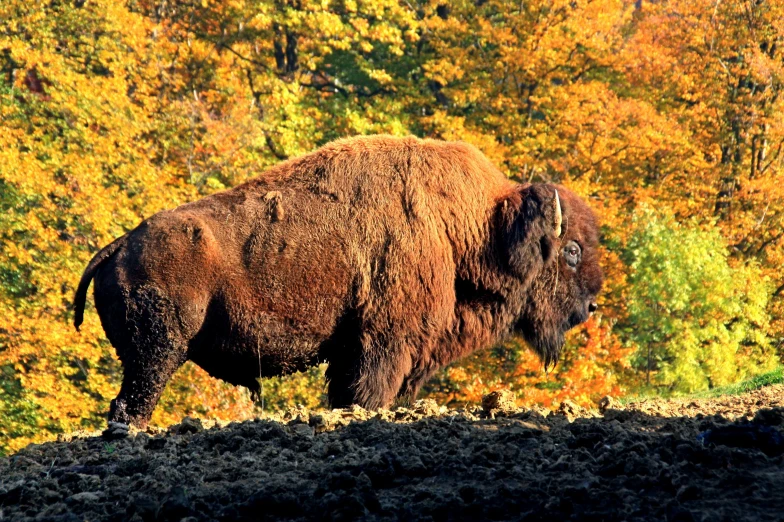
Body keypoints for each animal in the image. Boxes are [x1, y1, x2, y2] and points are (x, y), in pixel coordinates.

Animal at [73, 134, 600, 426]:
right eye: (571, 251)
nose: (591, 305)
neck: (474, 226)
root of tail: (119, 245)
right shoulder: (382, 344)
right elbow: (363, 393)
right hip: (157, 351)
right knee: (131, 403)